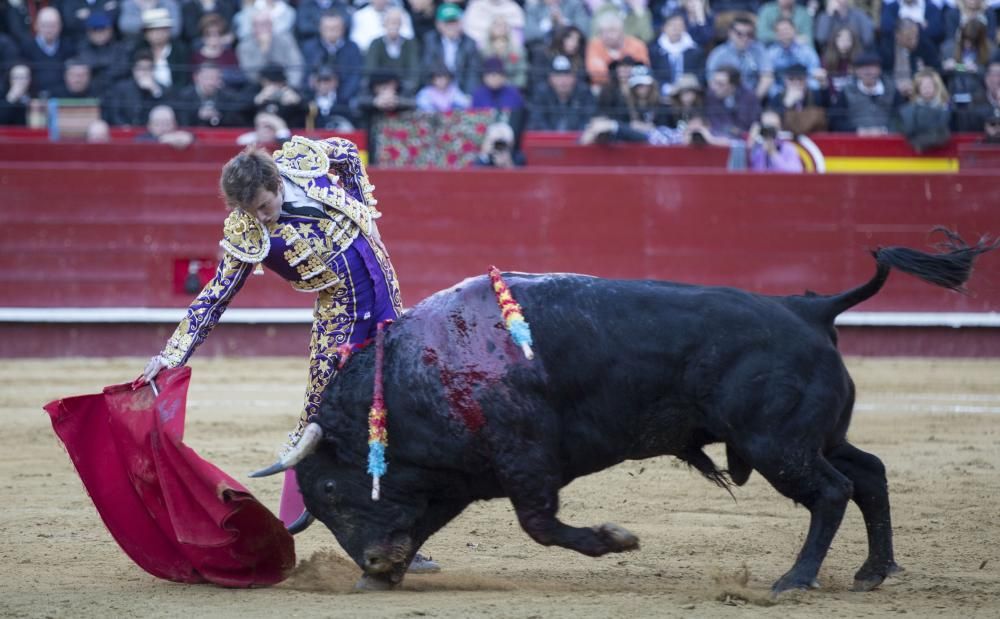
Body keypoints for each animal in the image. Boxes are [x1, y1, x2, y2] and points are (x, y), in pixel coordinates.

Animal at [280, 230, 992, 592]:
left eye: (333, 492)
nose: (374, 563)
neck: (409, 378)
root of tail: (809, 307)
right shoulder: (458, 477)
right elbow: (426, 521)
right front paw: (382, 581)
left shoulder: (524, 464)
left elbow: (541, 525)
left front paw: (616, 541)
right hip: (813, 437)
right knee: (868, 473)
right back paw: (874, 572)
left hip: (778, 446)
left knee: (834, 491)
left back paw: (796, 578)